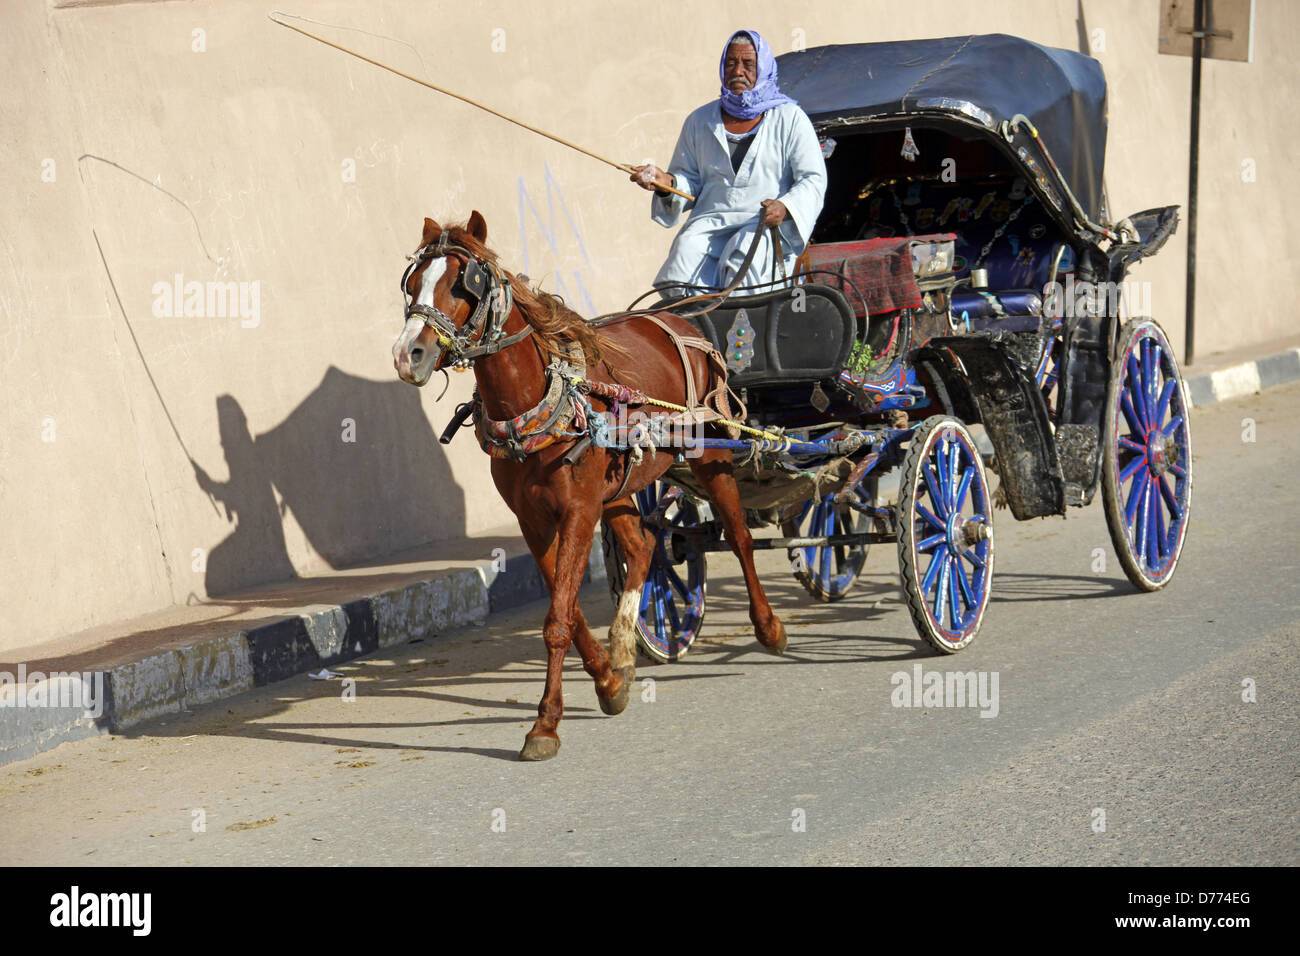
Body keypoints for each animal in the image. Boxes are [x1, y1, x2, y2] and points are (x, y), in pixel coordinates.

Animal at [390, 210, 785, 764]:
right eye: (411, 284)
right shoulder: (534, 520)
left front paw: (545, 724)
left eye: (462, 283)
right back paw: (624, 647)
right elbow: (570, 609)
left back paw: (768, 627)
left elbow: (558, 618)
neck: (541, 399)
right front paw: (607, 680)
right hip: (620, 490)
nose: (409, 354)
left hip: (710, 456)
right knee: (644, 549)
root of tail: (684, 322)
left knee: (741, 537)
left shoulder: (578, 510)